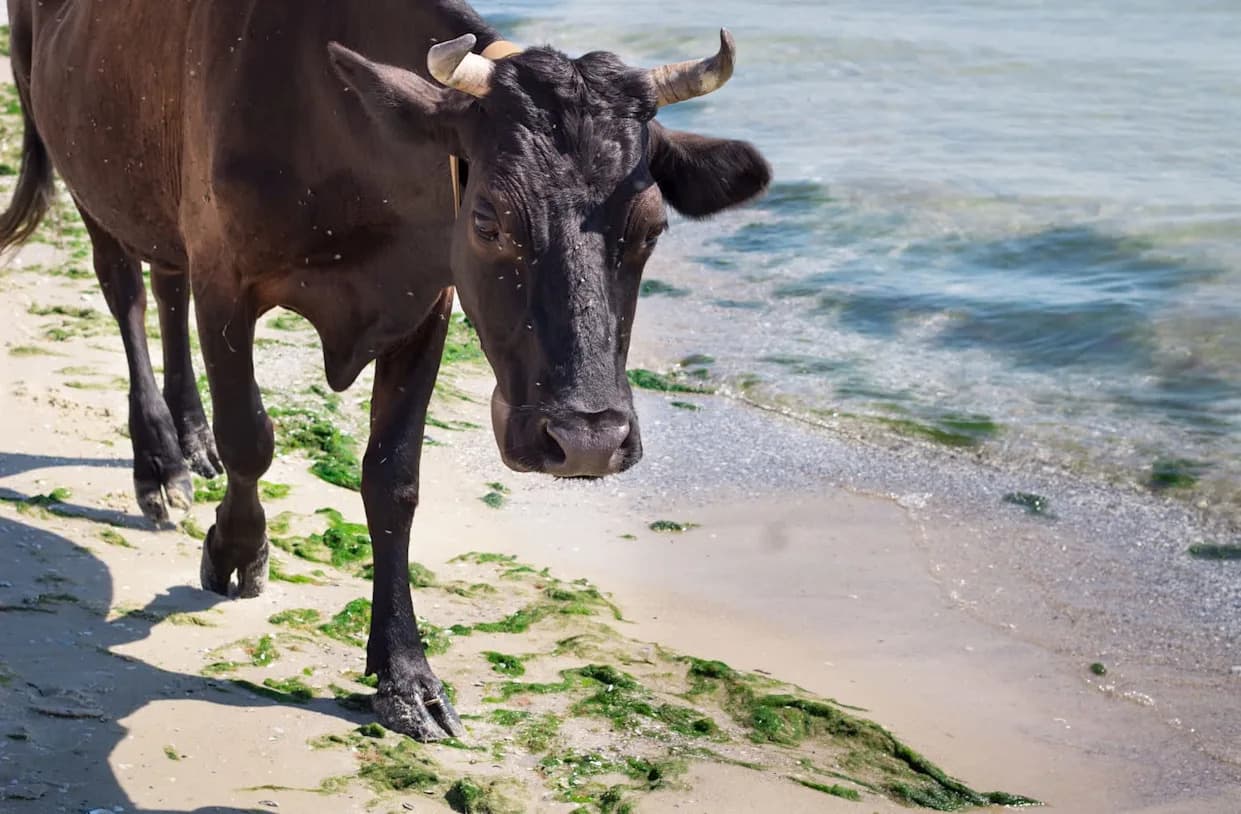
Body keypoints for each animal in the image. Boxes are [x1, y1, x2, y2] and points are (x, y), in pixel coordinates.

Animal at [0, 1, 770, 741]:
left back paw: (191, 440)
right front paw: (238, 548)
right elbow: (251, 435)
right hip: (77, 155)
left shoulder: (426, 302)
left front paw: (405, 676)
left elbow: (394, 478)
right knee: (125, 289)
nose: (588, 440)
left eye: (652, 227)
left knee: (165, 283)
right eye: (488, 219)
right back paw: (160, 461)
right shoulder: (226, 274)